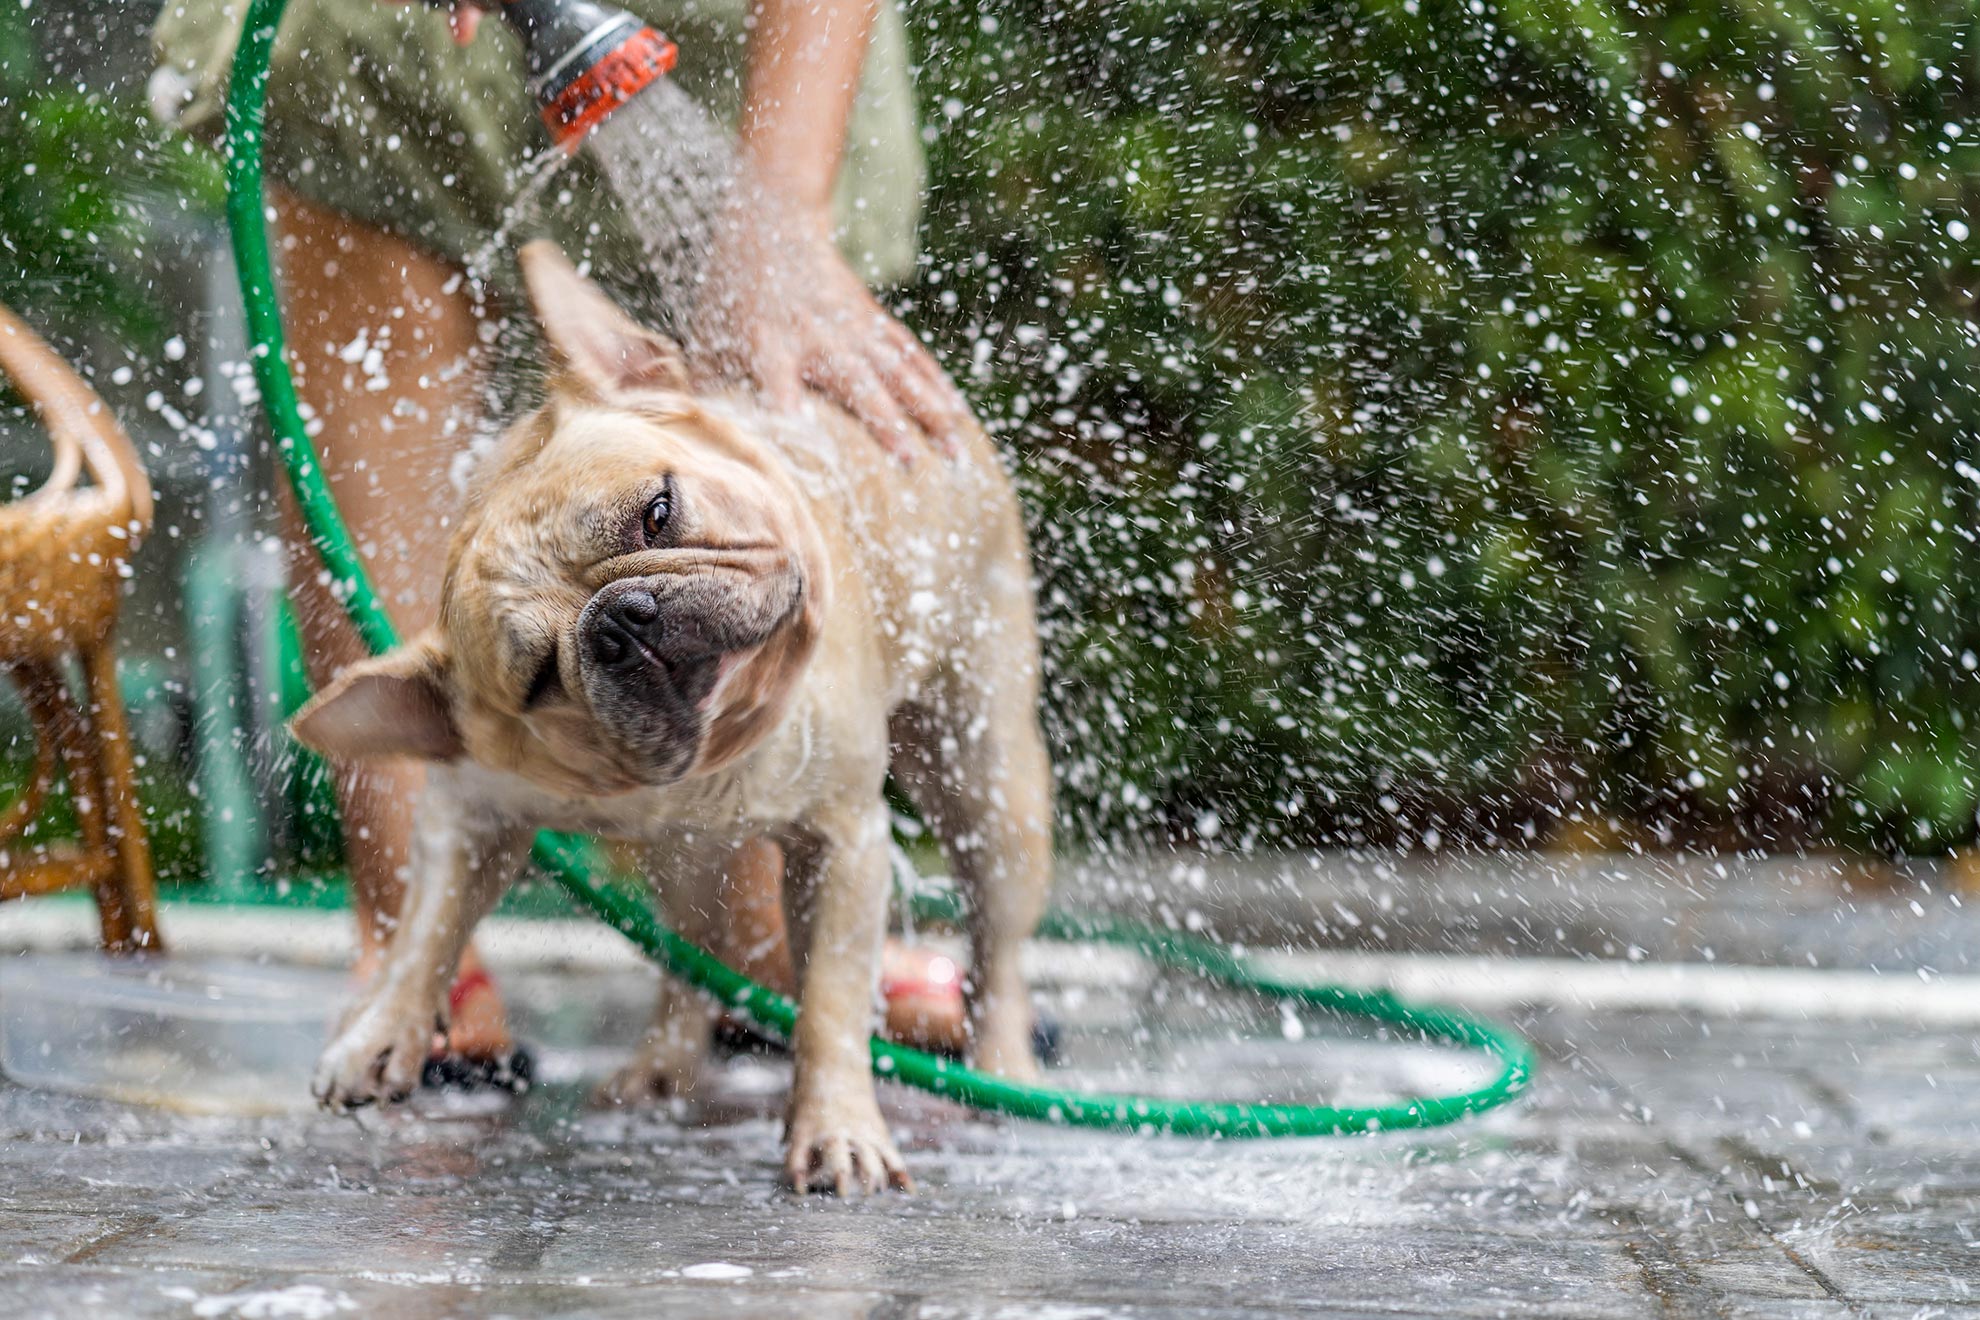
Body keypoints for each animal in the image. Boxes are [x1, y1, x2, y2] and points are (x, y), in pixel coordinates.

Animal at [289, 240, 1053, 1195]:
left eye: (658, 513)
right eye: (537, 679)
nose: (621, 621)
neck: (719, 748)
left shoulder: (843, 844)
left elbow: (831, 1005)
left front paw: (837, 1129)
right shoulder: (469, 810)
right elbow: (427, 927)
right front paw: (380, 1032)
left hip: (989, 786)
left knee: (997, 944)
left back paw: (1002, 1071)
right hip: (687, 863)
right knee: (692, 953)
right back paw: (660, 1067)